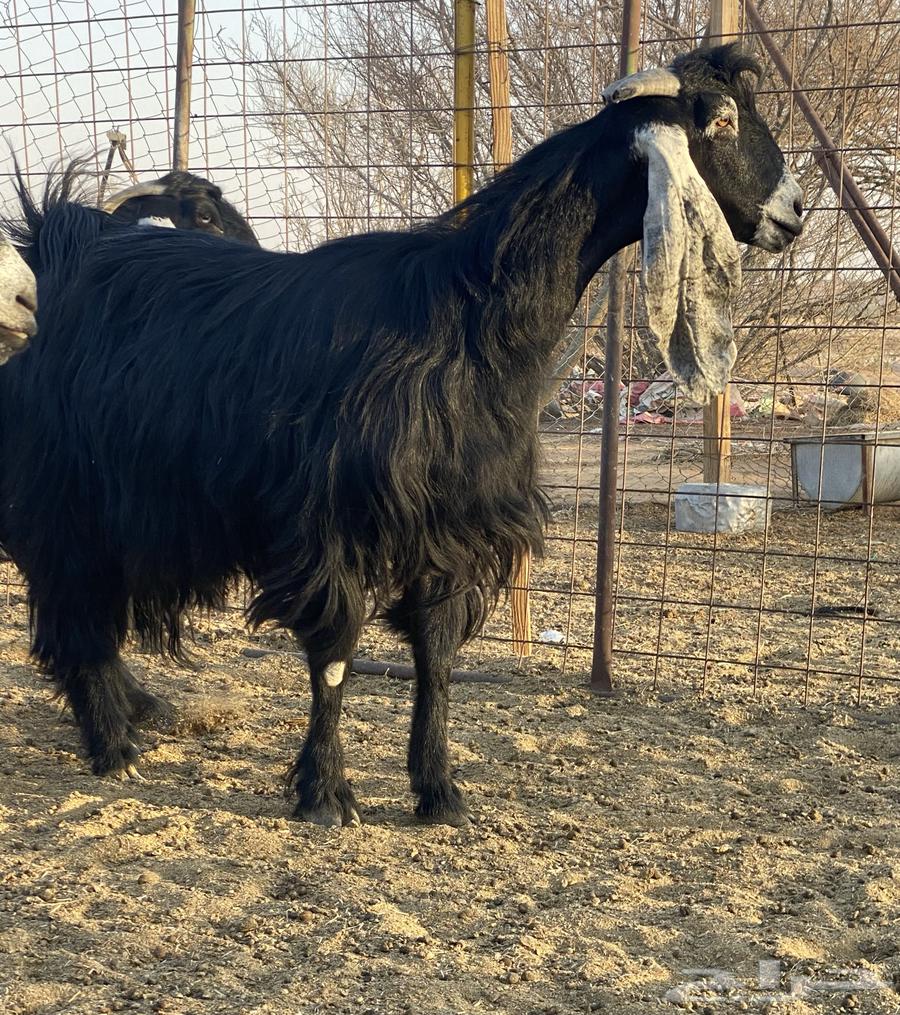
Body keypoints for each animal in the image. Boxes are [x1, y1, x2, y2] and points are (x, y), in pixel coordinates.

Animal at [1, 45, 802, 826]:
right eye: (720, 120)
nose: (793, 213)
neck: (465, 313)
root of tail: (55, 247)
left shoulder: (452, 522)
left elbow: (437, 656)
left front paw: (439, 790)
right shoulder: (331, 523)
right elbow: (335, 656)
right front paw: (325, 795)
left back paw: (138, 714)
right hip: (66, 495)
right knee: (75, 613)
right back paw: (114, 744)